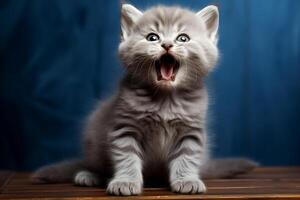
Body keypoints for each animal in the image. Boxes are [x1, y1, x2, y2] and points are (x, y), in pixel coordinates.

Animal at [31, 3, 258, 196]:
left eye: (183, 38)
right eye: (152, 37)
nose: (167, 45)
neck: (165, 99)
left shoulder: (191, 130)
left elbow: (187, 156)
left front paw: (186, 180)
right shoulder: (124, 128)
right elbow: (127, 157)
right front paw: (125, 182)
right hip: (93, 140)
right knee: (94, 163)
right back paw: (89, 175)